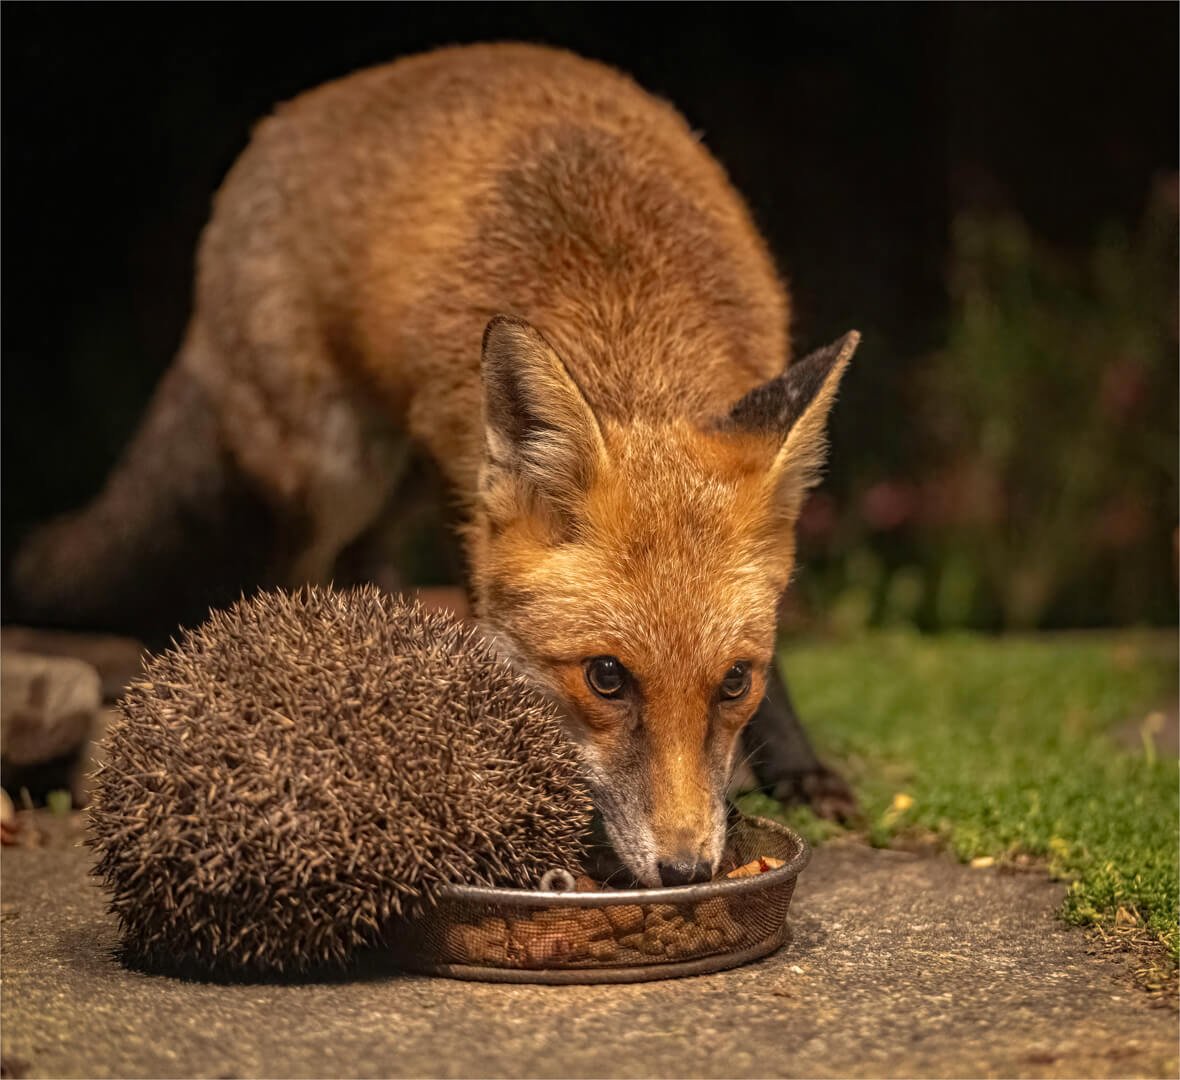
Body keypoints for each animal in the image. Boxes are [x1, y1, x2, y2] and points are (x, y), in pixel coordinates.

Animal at [11, 42, 860, 887]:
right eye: (606, 677)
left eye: (735, 682)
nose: (686, 870)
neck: (627, 320)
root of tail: (295, 113)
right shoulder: (466, 494)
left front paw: (797, 771)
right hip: (335, 474)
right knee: (296, 571)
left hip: (401, 484)